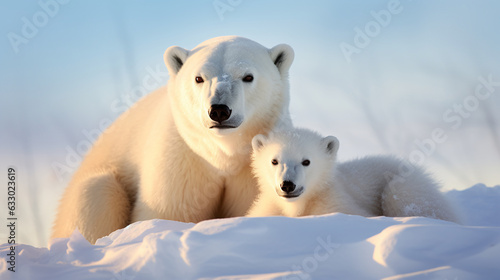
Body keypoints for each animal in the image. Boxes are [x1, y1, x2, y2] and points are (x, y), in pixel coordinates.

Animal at [51, 36, 292, 243]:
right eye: (199, 78)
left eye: (248, 76)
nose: (219, 110)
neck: (223, 156)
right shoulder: (182, 160)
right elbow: (169, 212)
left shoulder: (252, 168)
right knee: (96, 195)